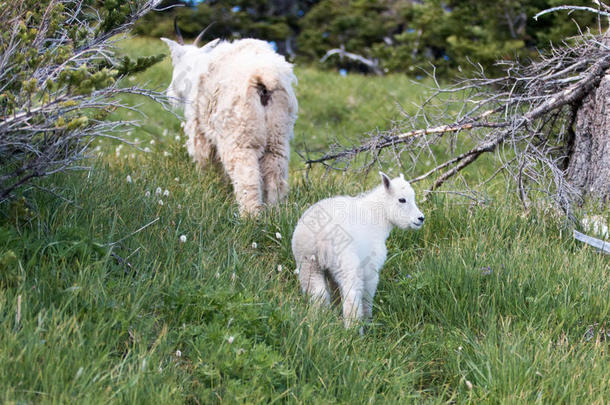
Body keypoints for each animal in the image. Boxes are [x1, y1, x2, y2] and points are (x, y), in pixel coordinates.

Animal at [160, 22, 296, 215]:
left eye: (174, 62)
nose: (170, 95)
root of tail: (265, 77)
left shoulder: (199, 128)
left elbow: (204, 160)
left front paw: (204, 183)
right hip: (278, 136)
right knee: (275, 174)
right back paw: (274, 212)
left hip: (240, 136)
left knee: (247, 177)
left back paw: (249, 216)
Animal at [290, 172, 422, 330]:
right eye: (402, 200)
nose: (421, 218)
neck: (378, 216)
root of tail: (320, 236)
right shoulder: (371, 265)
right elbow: (367, 294)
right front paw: (368, 319)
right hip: (345, 260)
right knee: (351, 295)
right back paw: (353, 329)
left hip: (307, 261)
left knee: (318, 293)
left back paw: (320, 321)